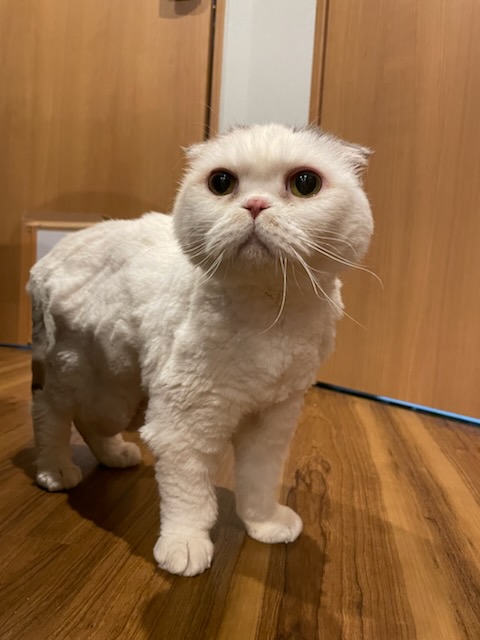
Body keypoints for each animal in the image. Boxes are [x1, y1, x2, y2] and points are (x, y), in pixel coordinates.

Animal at [28, 123, 373, 576]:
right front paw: (185, 545)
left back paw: (115, 455)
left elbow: (258, 483)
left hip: (117, 393)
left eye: (305, 184)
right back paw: (54, 469)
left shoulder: (272, 420)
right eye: (222, 182)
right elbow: (190, 498)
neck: (270, 316)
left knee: (87, 422)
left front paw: (264, 523)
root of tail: (55, 252)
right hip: (81, 376)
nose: (255, 205)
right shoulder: (182, 425)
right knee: (48, 411)